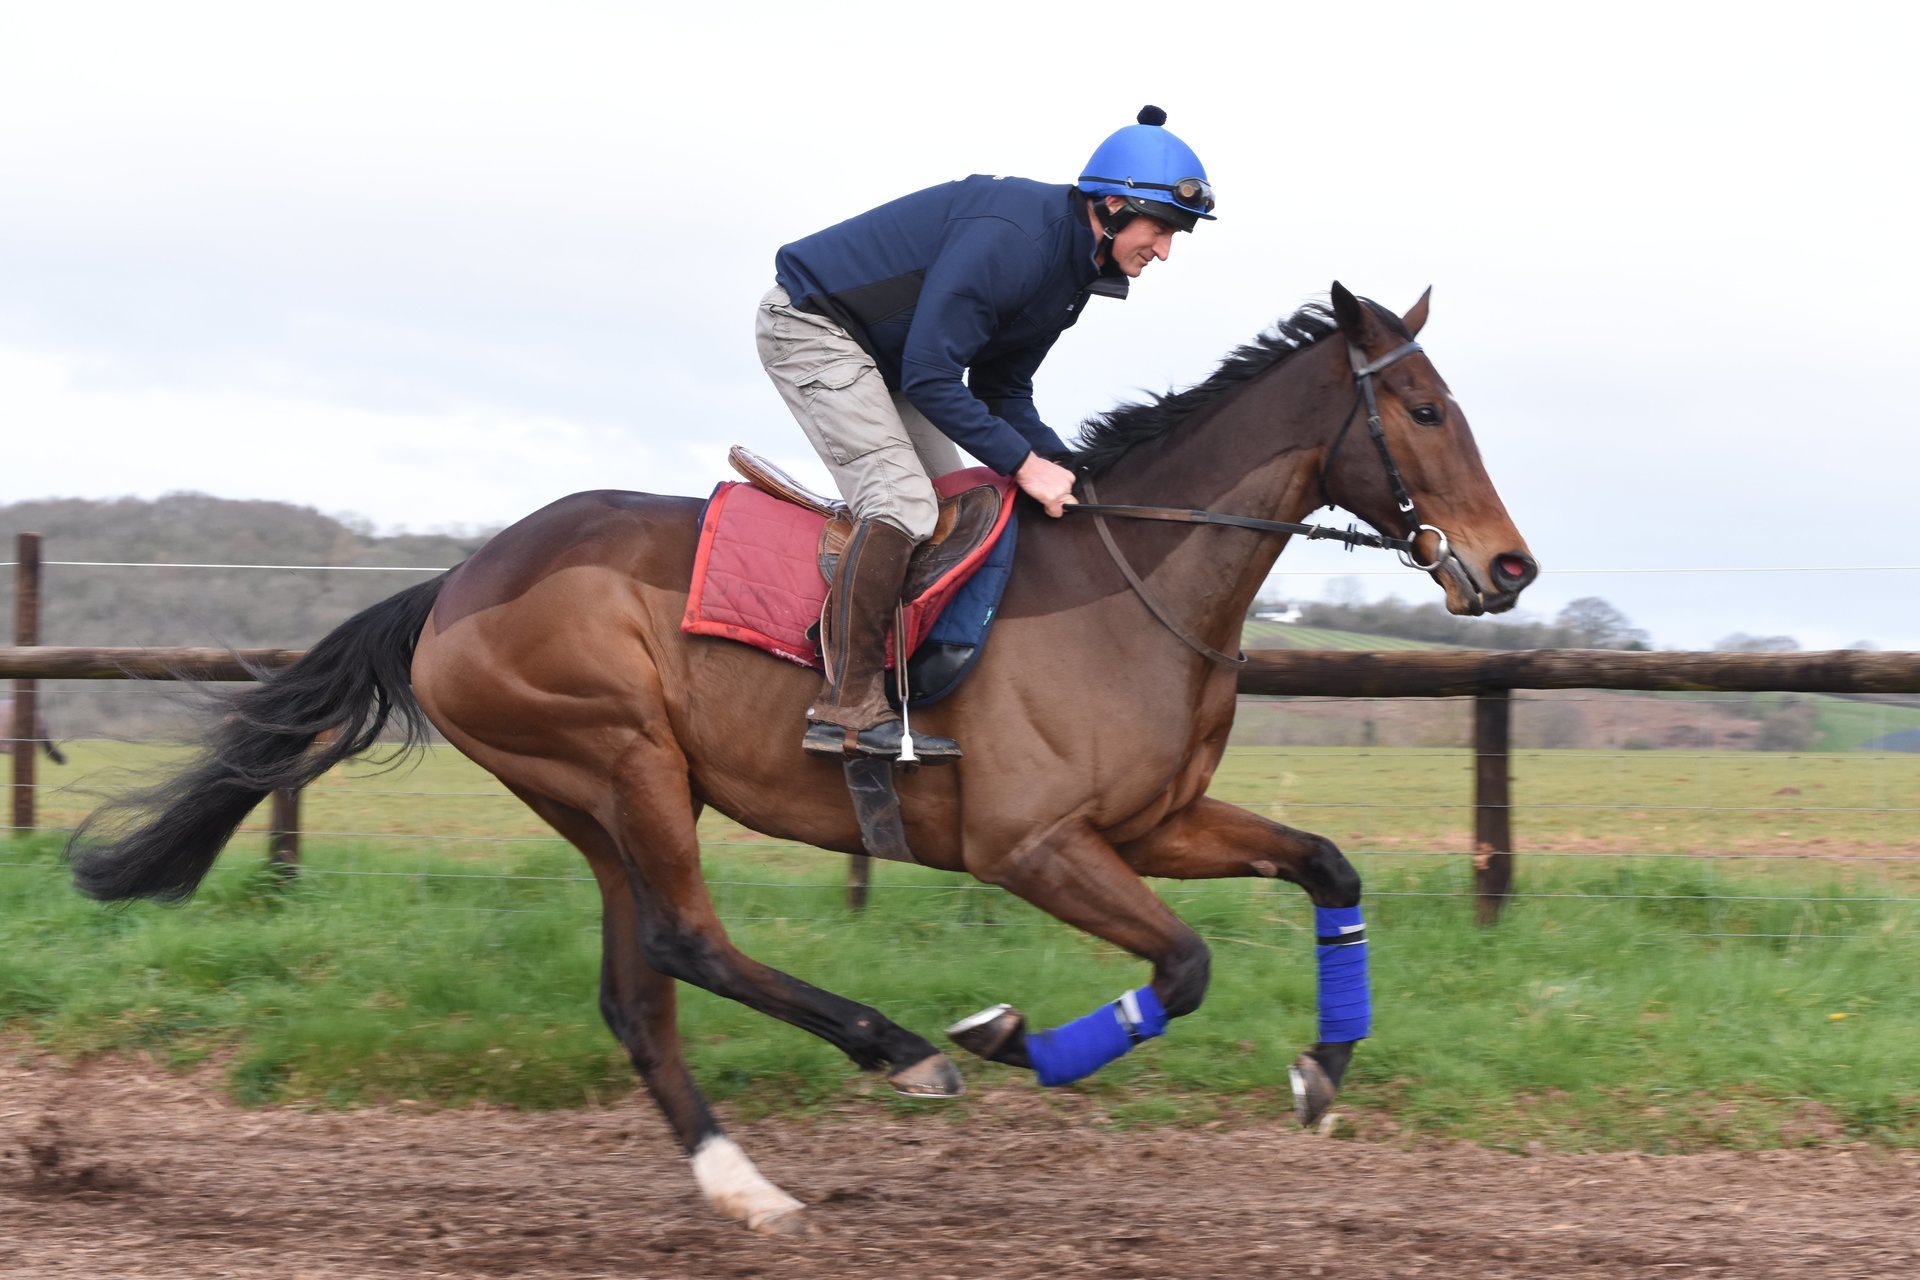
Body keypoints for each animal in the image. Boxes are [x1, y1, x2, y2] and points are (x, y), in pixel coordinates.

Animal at [70, 284, 1537, 1233]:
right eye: (1420, 408)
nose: (1510, 566)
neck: (1130, 582)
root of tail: (454, 584)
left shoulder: (1153, 825)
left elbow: (1328, 866)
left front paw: (1323, 1071)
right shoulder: (1032, 846)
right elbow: (1181, 967)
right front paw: (1007, 1037)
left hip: (598, 801)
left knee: (638, 991)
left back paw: (744, 1184)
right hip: (620, 758)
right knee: (689, 946)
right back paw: (900, 1050)